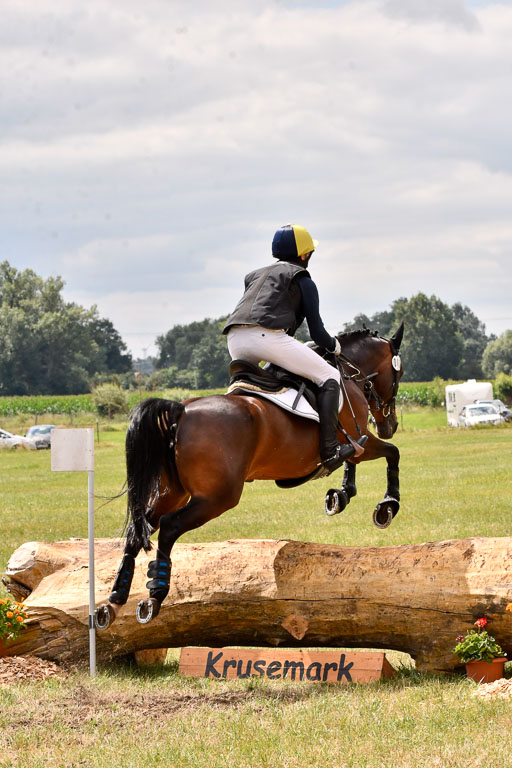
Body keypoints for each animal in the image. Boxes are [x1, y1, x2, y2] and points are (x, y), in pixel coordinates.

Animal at [95, 324, 404, 632]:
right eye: (398, 375)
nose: (390, 425)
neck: (349, 374)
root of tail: (181, 411)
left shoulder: (357, 439)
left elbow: (357, 458)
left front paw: (340, 496)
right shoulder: (359, 437)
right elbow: (392, 453)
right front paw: (387, 506)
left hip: (173, 492)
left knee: (140, 529)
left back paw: (113, 601)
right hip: (218, 497)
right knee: (170, 527)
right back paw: (155, 596)